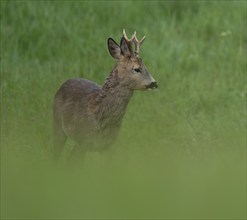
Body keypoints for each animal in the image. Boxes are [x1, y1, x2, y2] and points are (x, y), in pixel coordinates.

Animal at [53, 29, 158, 160]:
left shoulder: (108, 145)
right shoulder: (82, 140)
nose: (154, 83)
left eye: (146, 66)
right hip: (57, 124)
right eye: (137, 69)